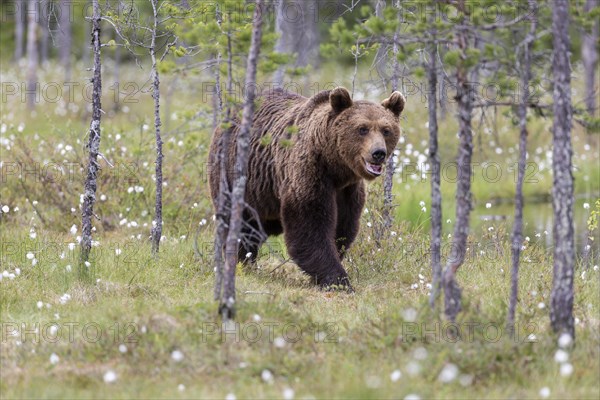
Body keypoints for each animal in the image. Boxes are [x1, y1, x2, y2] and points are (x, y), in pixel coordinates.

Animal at [209, 86, 406, 290]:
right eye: (362, 129)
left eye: (386, 130)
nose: (378, 153)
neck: (335, 166)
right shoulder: (310, 174)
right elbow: (310, 227)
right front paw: (339, 280)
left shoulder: (348, 190)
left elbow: (343, 228)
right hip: (234, 174)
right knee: (240, 224)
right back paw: (242, 262)